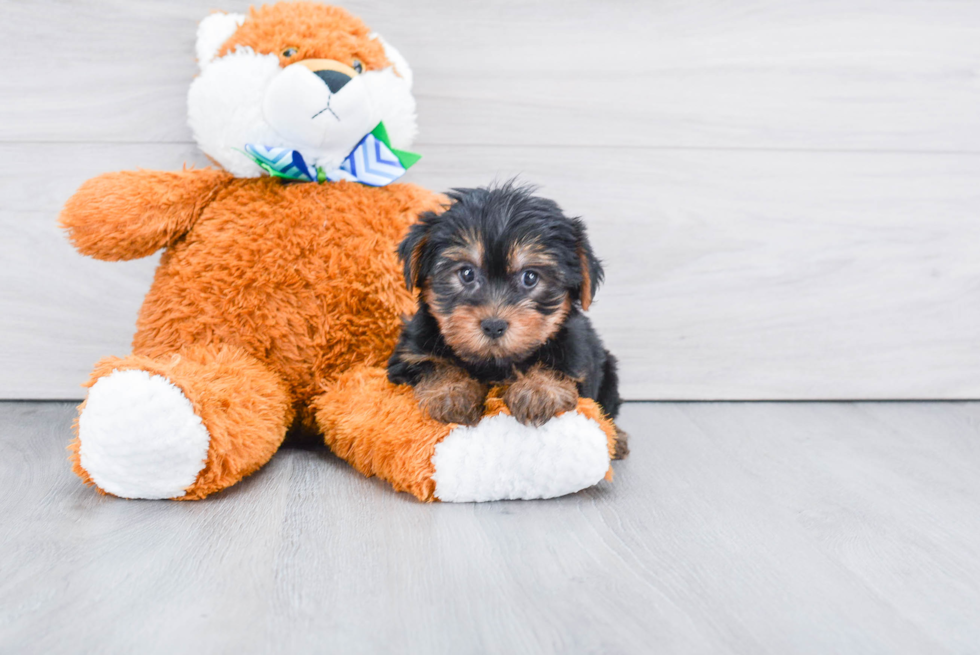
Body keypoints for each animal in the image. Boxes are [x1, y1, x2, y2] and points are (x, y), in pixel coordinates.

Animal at [388, 183, 628, 462]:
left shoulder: (577, 357)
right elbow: (433, 364)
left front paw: (538, 390)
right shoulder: (408, 354)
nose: (494, 325)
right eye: (466, 273)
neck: (494, 363)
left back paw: (617, 437)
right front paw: (451, 392)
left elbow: (556, 365)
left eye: (530, 277)